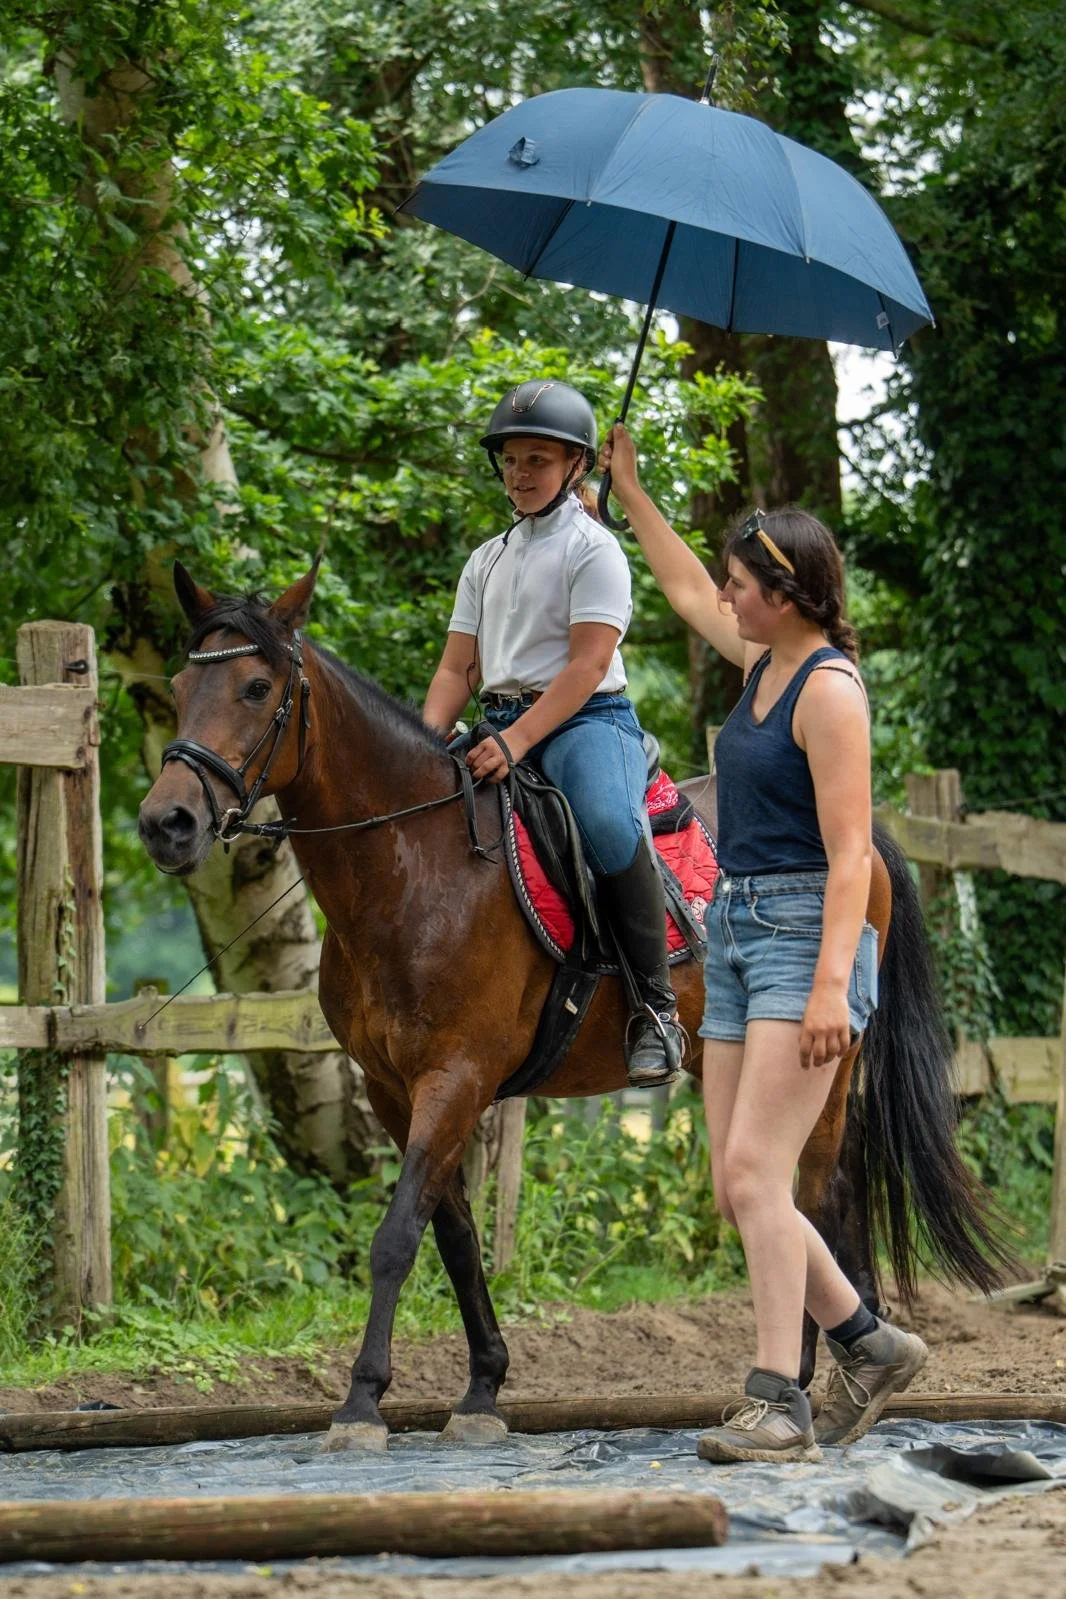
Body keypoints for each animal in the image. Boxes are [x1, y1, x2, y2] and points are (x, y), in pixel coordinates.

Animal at [138, 562, 1007, 1451]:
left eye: (255, 686)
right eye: (179, 686)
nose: (166, 822)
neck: (416, 865)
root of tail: (860, 835)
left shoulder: (456, 1076)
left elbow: (397, 1235)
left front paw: (360, 1401)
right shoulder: (393, 1088)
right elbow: (454, 1236)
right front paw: (482, 1389)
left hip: (820, 1059)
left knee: (816, 1188)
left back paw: (807, 1378)